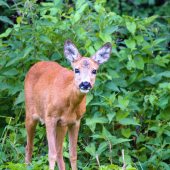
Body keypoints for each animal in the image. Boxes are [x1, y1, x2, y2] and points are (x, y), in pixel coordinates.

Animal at [24, 39, 111, 169]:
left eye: (94, 70)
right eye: (76, 69)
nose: (85, 84)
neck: (69, 103)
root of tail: (36, 64)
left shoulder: (76, 121)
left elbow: (73, 154)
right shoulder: (50, 118)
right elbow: (51, 154)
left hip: (62, 125)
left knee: (60, 151)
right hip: (30, 112)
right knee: (29, 146)